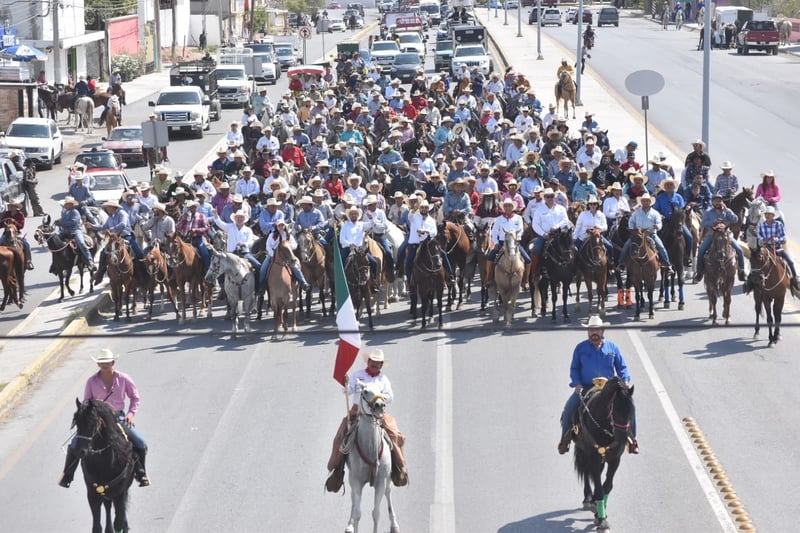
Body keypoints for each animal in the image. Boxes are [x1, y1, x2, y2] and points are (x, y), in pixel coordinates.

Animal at [71, 396, 137, 532]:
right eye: (77, 423)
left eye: (92, 422)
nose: (80, 451)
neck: (104, 464)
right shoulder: (92, 495)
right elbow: (96, 527)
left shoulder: (120, 493)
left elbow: (119, 521)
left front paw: (122, 525)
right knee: (107, 505)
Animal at [342, 380, 400, 528]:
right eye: (364, 391)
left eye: (381, 390)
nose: (379, 405)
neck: (370, 450)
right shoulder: (356, 481)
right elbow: (357, 513)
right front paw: (352, 525)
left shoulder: (380, 482)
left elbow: (376, 513)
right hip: (351, 478)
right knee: (352, 497)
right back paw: (349, 525)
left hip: (388, 478)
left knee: (388, 491)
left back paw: (394, 525)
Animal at [572, 376, 636, 528]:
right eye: (616, 410)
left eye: (631, 411)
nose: (622, 439)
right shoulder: (594, 458)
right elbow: (599, 488)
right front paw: (601, 520)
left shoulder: (615, 459)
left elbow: (607, 486)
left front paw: (601, 514)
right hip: (584, 453)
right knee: (586, 473)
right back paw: (588, 499)